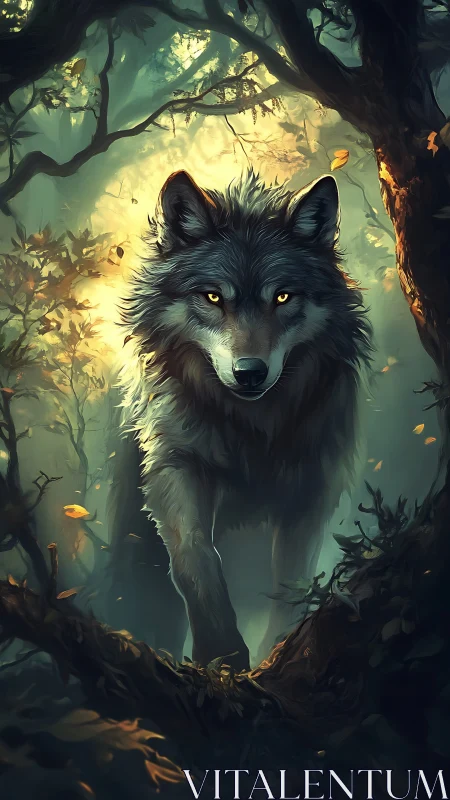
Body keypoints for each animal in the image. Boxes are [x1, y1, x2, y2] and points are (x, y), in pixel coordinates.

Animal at [117, 169, 371, 671]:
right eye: (214, 296)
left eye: (283, 297)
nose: (250, 372)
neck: (252, 427)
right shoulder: (176, 466)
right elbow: (196, 556)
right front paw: (222, 653)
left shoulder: (312, 489)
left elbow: (291, 581)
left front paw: (282, 644)